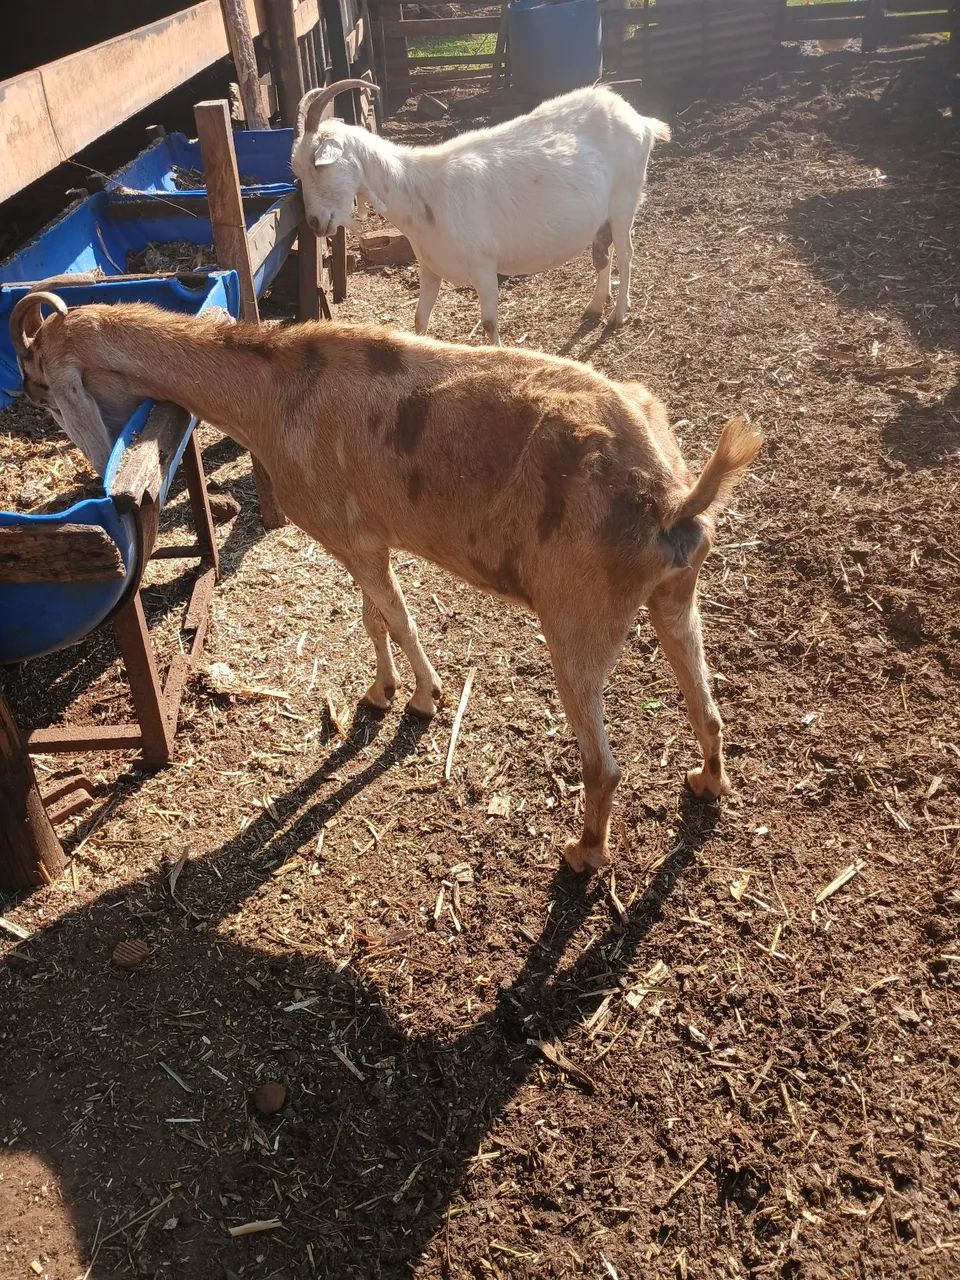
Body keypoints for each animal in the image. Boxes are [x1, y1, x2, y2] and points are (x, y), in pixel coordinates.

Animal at [11, 291, 761, 872]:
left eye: (44, 389)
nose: (93, 477)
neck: (271, 390)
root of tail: (672, 497)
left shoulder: (356, 540)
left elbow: (394, 615)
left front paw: (424, 698)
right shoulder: (361, 543)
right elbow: (374, 617)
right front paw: (380, 693)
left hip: (579, 620)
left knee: (603, 762)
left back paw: (584, 855)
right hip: (675, 595)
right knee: (706, 704)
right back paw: (706, 783)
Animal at [290, 80, 670, 345]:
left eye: (318, 165)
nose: (314, 222)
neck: (422, 192)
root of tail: (639, 120)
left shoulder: (485, 267)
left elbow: (489, 324)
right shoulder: (430, 267)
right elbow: (419, 319)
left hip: (624, 201)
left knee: (626, 253)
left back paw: (618, 315)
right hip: (601, 216)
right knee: (602, 254)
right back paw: (594, 307)